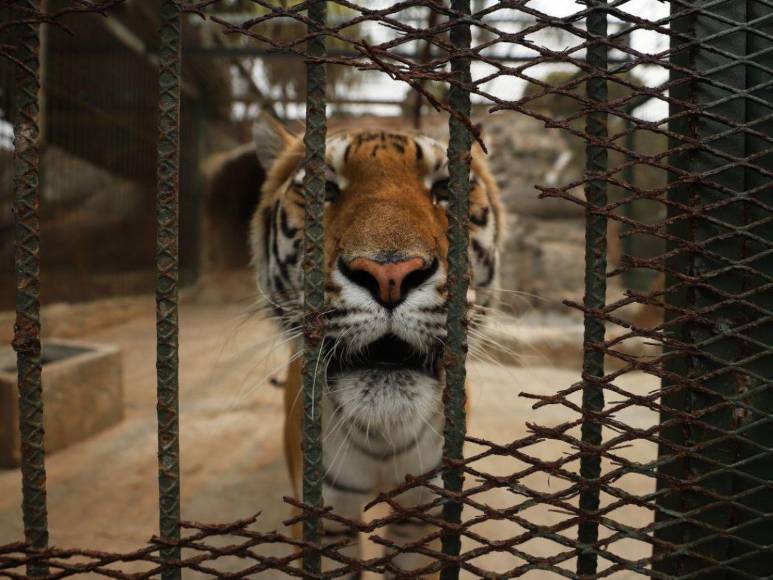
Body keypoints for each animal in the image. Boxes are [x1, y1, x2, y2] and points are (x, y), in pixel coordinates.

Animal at [250, 116, 504, 578]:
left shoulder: (422, 512)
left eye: (446, 188)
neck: (385, 435)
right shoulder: (326, 513)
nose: (390, 275)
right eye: (323, 188)